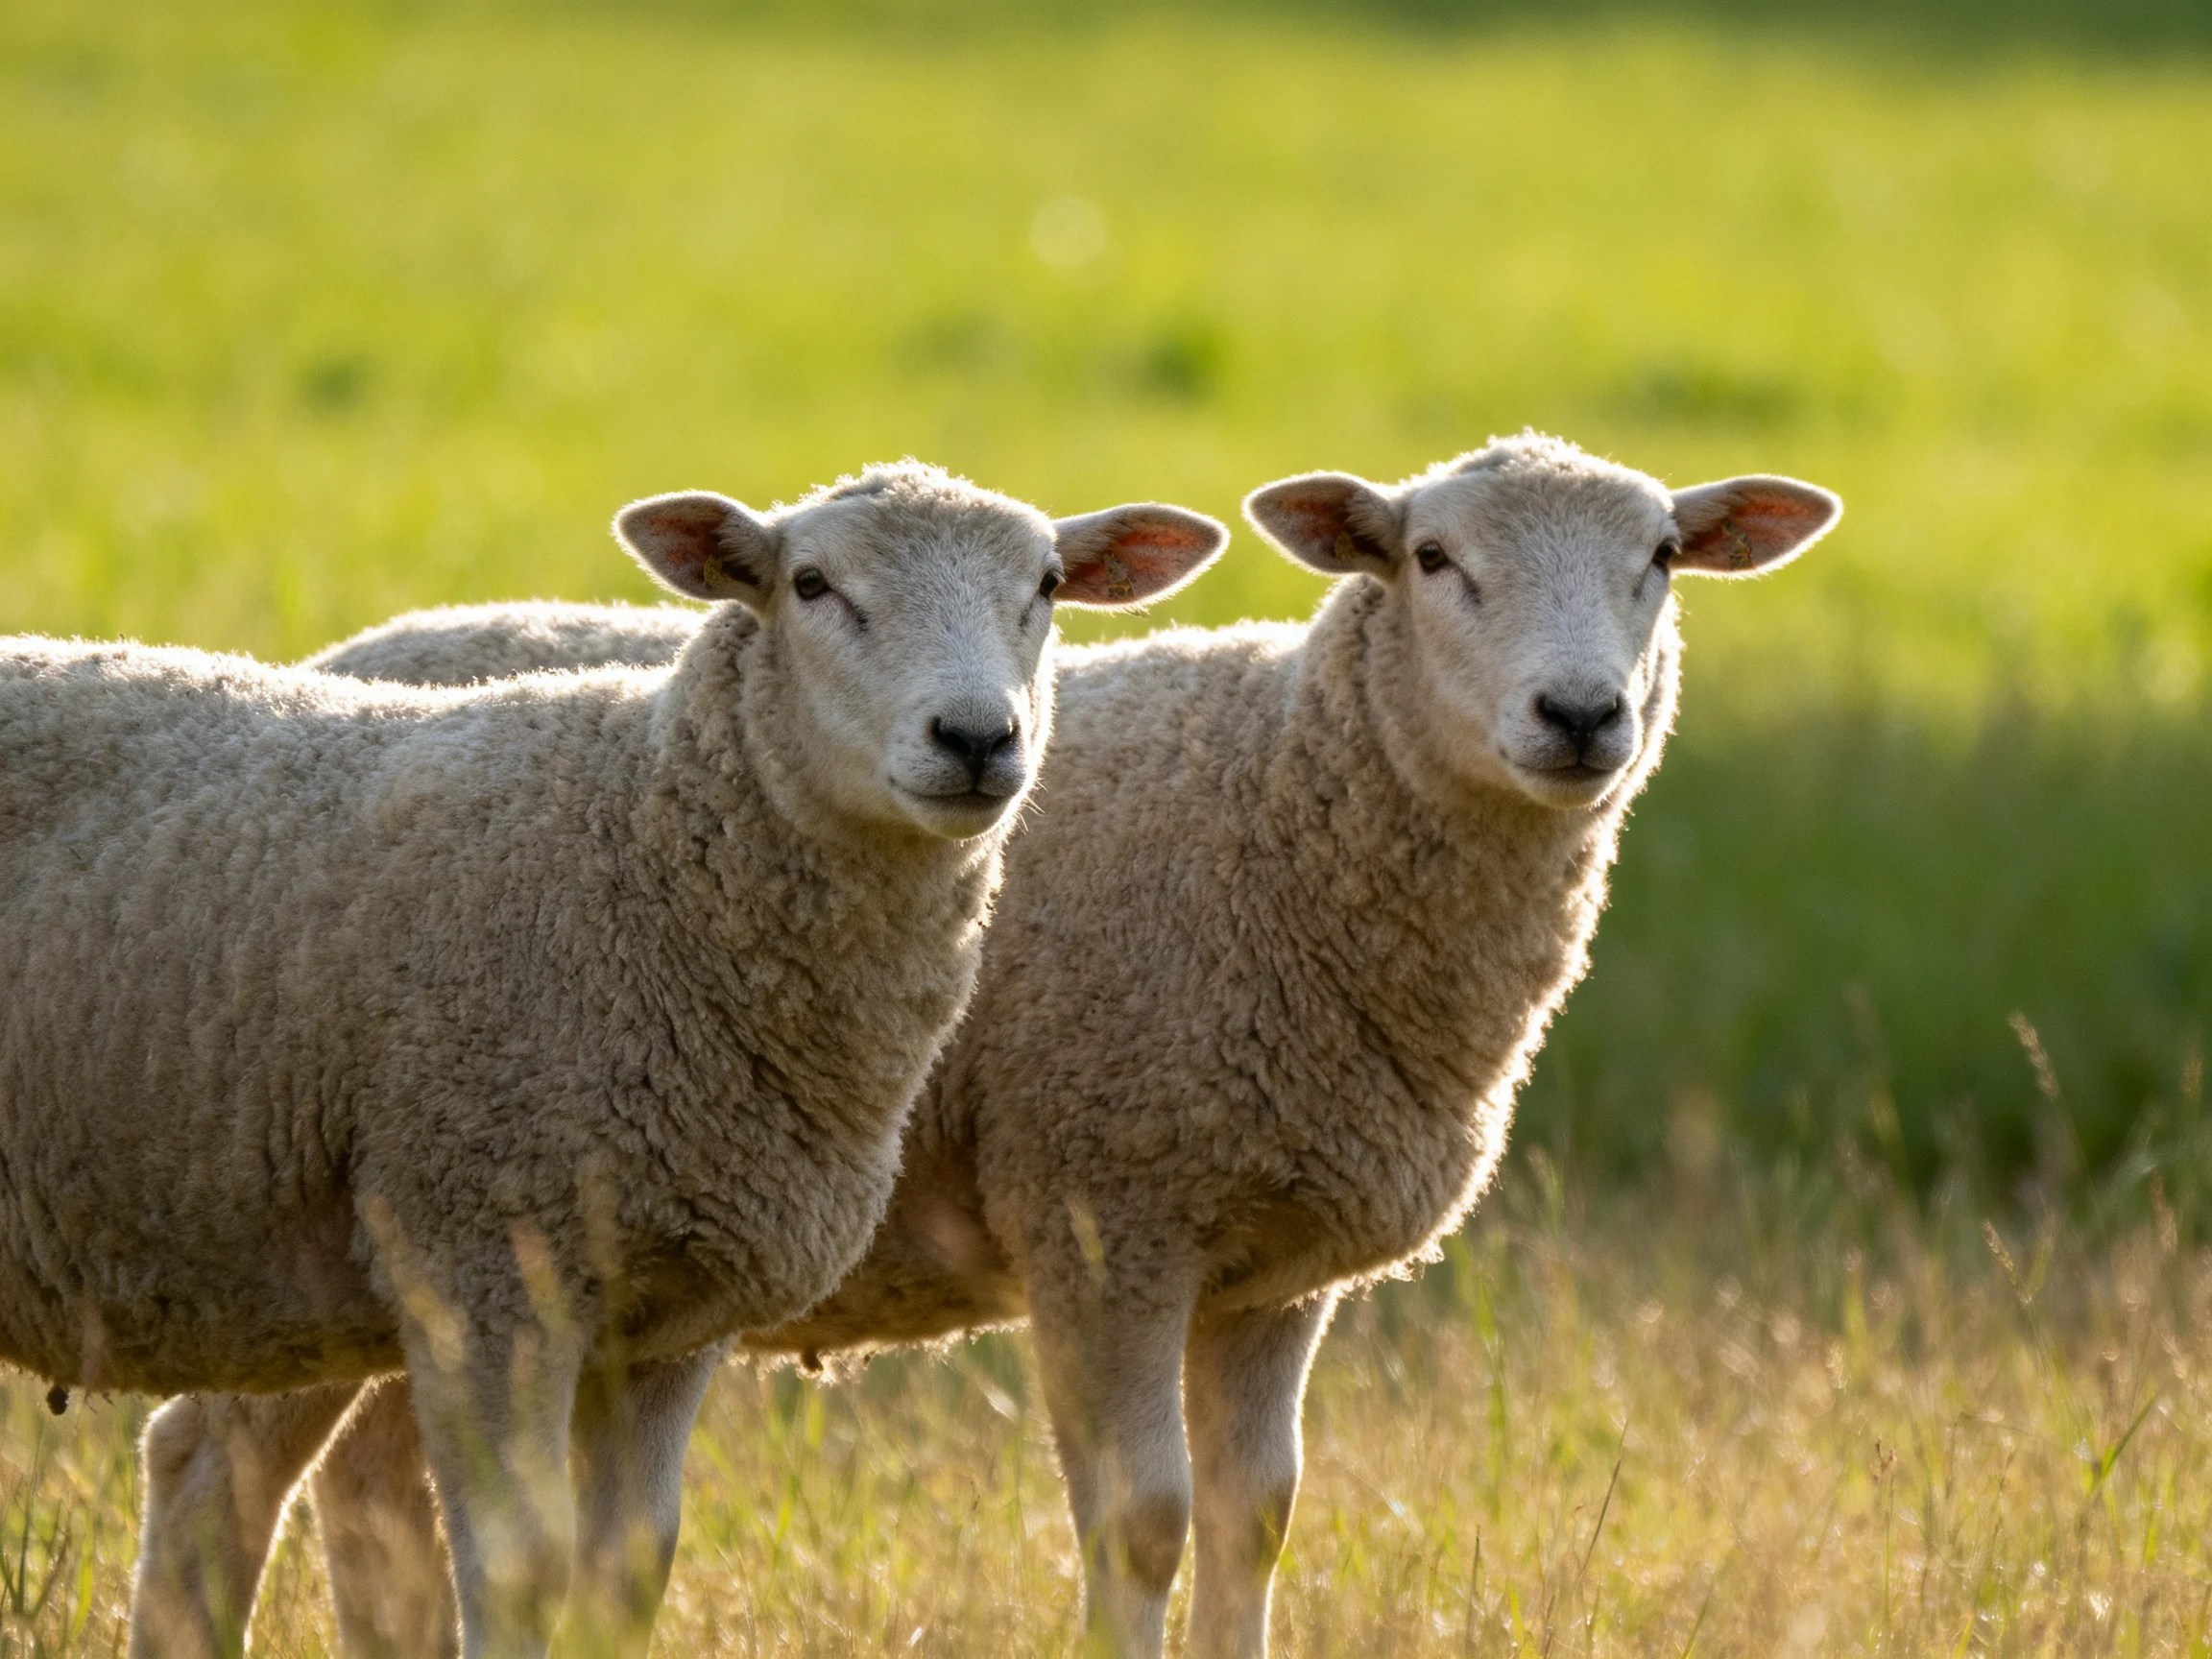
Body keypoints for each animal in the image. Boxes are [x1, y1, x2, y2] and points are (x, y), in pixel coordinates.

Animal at [0, 459, 1227, 1659]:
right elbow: (519, 1568)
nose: (976, 740)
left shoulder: (673, 1311)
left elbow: (627, 1571)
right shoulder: (487, 1264)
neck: (641, 849)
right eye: (812, 584)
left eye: (1051, 584)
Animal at [132, 434, 1839, 1659]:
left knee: (371, 1502)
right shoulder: (1104, 1206)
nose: (1584, 715)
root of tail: (342, 660)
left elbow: (1256, 1523)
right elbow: (1143, 1524)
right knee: (213, 1477)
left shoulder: (1275, 1269)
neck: (1280, 803)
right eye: (1432, 557)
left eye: (1663, 557)